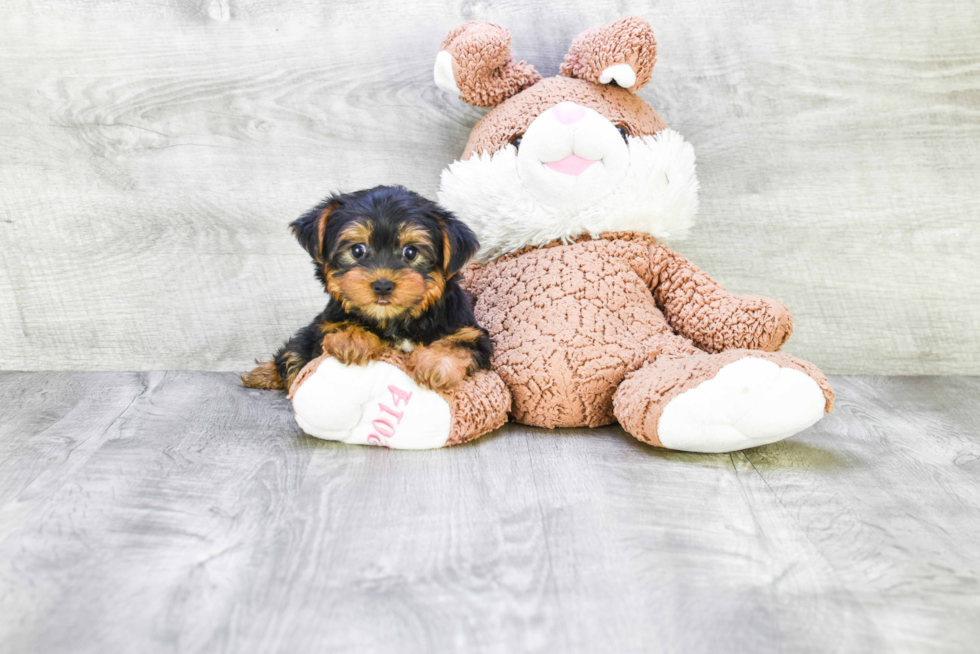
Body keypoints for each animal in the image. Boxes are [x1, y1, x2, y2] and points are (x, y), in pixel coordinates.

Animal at [242, 187, 494, 394]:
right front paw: (353, 339)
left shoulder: (470, 332)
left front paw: (435, 364)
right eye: (357, 250)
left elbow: (458, 344)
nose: (382, 285)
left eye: (410, 252)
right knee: (291, 355)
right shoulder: (325, 324)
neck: (395, 321)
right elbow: (339, 326)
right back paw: (262, 375)